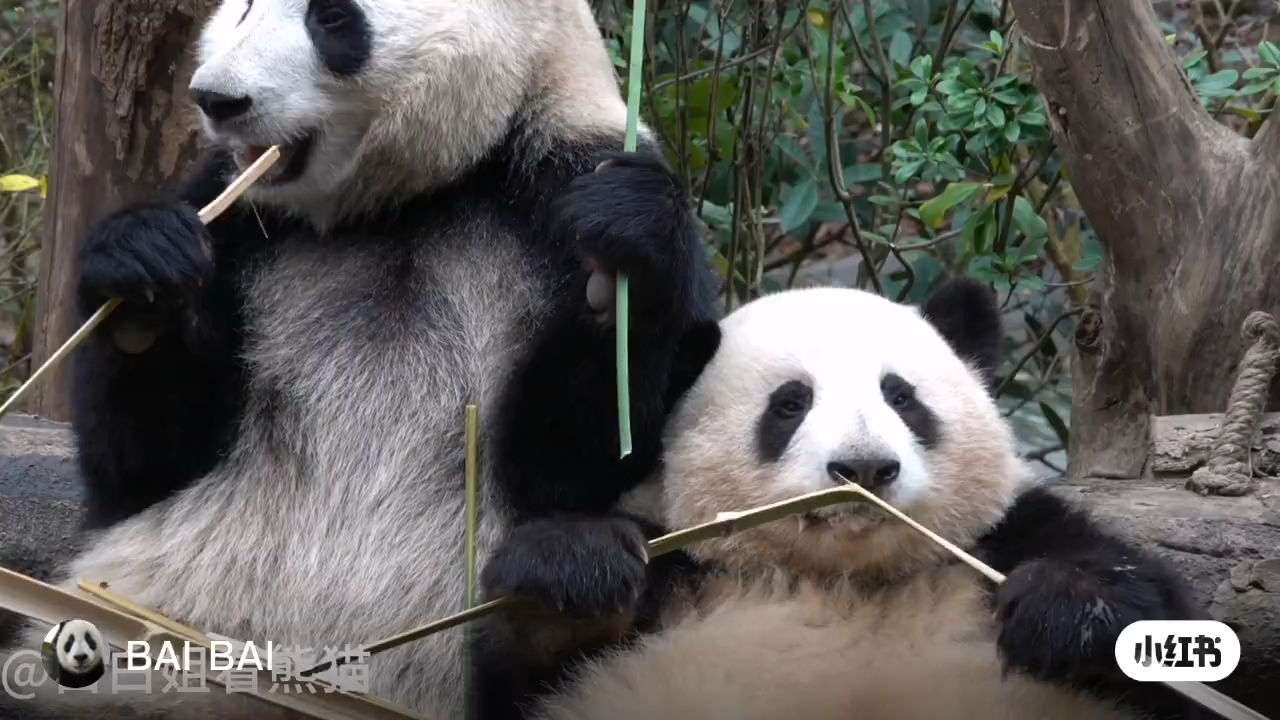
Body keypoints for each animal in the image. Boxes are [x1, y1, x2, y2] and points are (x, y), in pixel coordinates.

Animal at [0, 1, 721, 717]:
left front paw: (620, 250)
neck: (398, 202)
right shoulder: (234, 218)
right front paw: (143, 272)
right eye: (244, 7)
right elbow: (144, 470)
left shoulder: (560, 176)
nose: (216, 99)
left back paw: (559, 598)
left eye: (331, 19)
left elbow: (577, 462)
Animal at [476, 275, 1203, 717]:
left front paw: (1064, 608)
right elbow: (521, 666)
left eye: (901, 396)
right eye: (790, 403)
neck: (845, 580)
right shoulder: (679, 581)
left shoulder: (994, 541)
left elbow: (1147, 616)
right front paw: (578, 570)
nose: (865, 467)